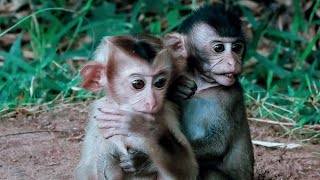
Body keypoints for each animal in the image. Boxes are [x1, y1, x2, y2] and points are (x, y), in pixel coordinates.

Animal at [76, 34, 199, 180]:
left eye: (160, 82)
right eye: (138, 84)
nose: (152, 101)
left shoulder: (168, 110)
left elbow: (189, 171)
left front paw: (144, 127)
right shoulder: (97, 116)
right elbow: (87, 170)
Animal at [118, 3, 255, 180]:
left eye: (237, 48)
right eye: (219, 48)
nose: (233, 62)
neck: (203, 84)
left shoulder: (230, 97)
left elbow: (217, 144)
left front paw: (145, 160)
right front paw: (178, 86)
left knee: (209, 172)